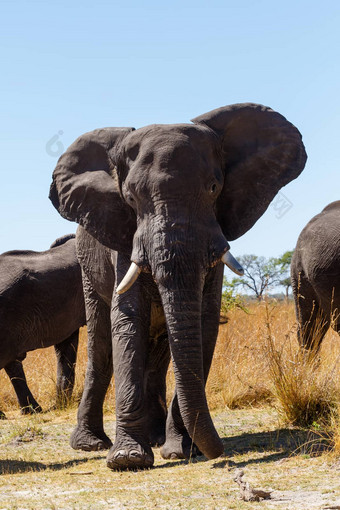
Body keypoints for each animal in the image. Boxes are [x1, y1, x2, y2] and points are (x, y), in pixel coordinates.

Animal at [49, 102, 306, 470]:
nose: (218, 453)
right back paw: (90, 444)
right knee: (101, 346)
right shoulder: (123, 235)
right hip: (87, 263)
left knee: (158, 352)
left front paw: (180, 451)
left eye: (213, 188)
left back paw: (157, 438)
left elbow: (203, 322)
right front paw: (128, 459)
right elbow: (127, 322)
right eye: (130, 198)